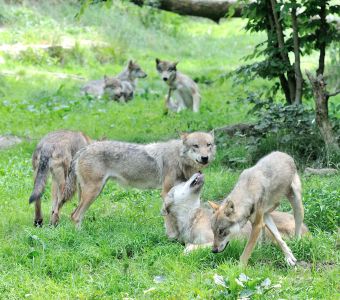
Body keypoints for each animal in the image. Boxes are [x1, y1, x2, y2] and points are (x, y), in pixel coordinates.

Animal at [62, 132, 214, 230]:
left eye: (208, 145)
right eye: (195, 146)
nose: (205, 158)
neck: (179, 159)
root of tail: (84, 149)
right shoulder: (165, 192)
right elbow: (169, 215)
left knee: (75, 215)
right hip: (93, 192)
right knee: (75, 215)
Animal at [162, 172, 308, 254]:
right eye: (183, 182)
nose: (198, 171)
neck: (191, 218)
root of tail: (307, 229)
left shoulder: (223, 241)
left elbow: (189, 247)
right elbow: (189, 244)